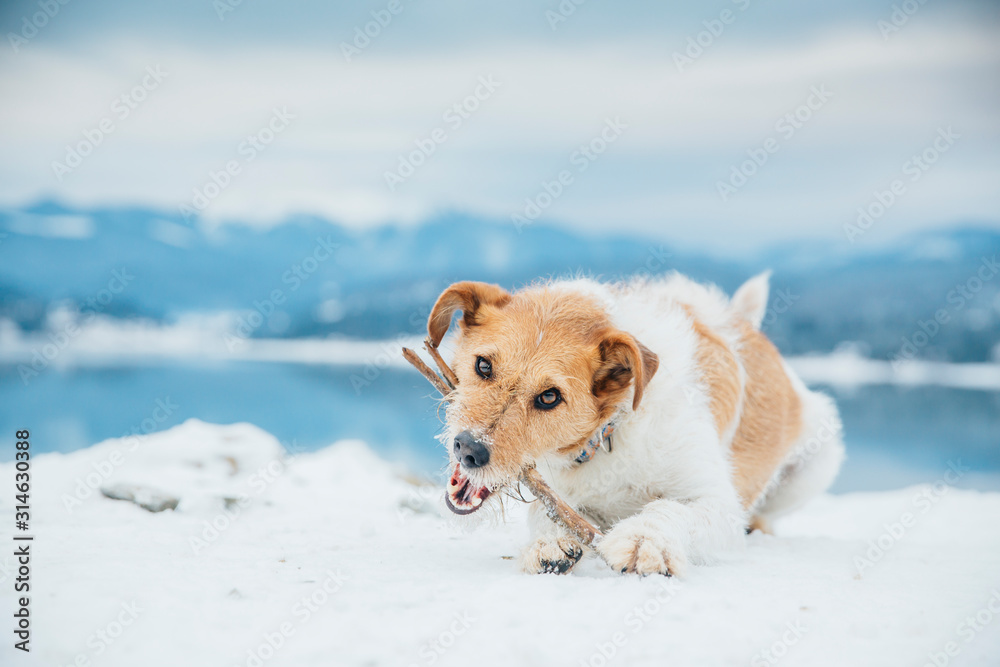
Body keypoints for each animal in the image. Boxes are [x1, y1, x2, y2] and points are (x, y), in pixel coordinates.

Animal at [430, 274, 844, 576]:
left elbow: (673, 510)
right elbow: (545, 510)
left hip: (814, 463)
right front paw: (551, 540)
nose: (469, 449)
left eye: (549, 397)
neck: (610, 431)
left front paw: (646, 540)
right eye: (484, 365)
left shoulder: (717, 501)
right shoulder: (559, 490)